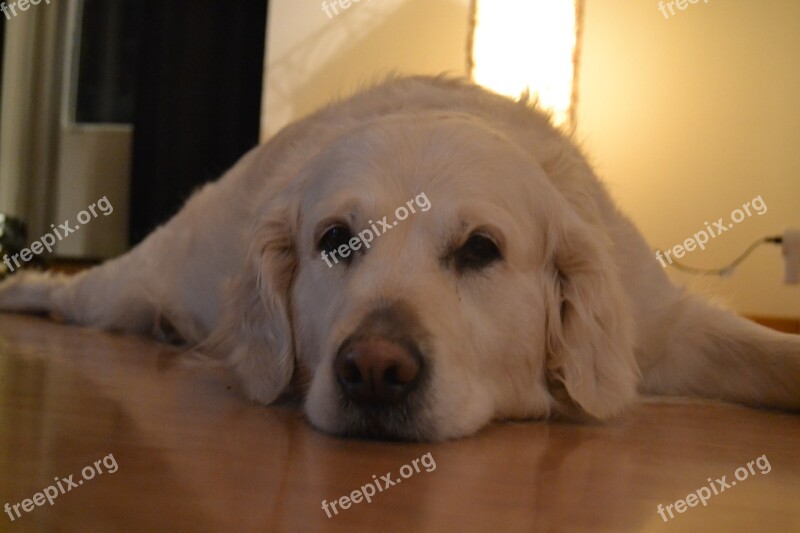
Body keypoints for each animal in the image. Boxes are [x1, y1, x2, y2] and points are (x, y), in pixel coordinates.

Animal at [1, 76, 800, 440]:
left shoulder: (666, 324)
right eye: (335, 240)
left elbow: (771, 354)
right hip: (128, 283)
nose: (375, 371)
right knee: (68, 293)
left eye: (481, 249)